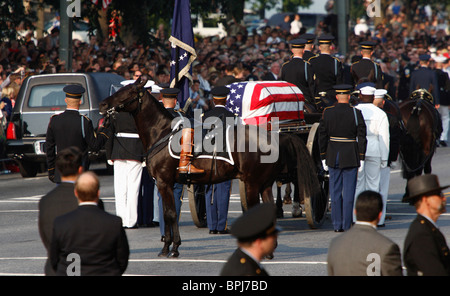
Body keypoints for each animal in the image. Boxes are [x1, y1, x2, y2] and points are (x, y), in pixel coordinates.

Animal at [100, 77, 322, 258]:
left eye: (128, 91)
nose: (103, 104)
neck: (161, 133)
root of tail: (274, 136)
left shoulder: (164, 183)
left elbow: (170, 214)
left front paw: (173, 248)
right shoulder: (165, 185)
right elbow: (167, 214)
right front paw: (167, 247)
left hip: (252, 184)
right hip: (264, 184)